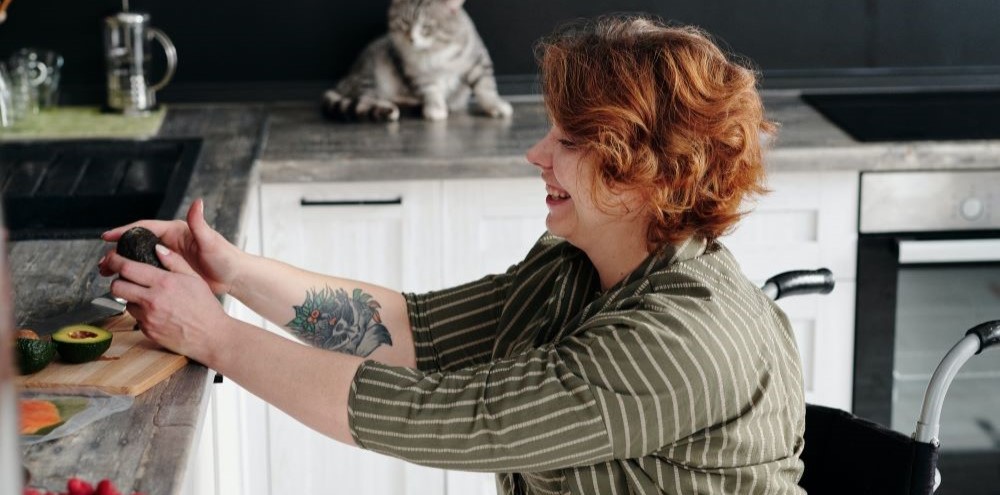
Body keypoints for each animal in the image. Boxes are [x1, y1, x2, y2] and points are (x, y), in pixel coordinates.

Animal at [320, 0, 512, 122]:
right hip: (370, 73)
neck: (434, 52)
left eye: (427, 27)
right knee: (366, 98)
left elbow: (485, 87)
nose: (412, 39)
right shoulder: (418, 73)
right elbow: (431, 91)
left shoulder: (477, 60)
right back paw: (388, 107)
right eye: (404, 22)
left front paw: (496, 105)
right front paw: (435, 108)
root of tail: (344, 81)